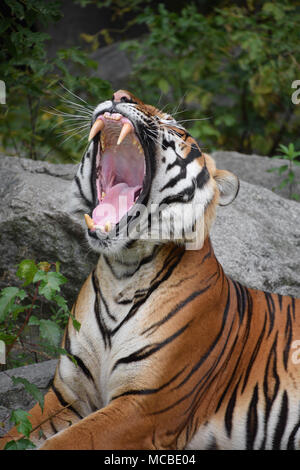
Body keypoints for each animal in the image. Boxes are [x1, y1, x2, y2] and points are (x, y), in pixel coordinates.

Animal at [1, 90, 300, 450]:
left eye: (175, 126)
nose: (120, 95)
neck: (122, 270)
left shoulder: (144, 407)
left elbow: (65, 443)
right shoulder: (67, 394)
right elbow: (14, 433)